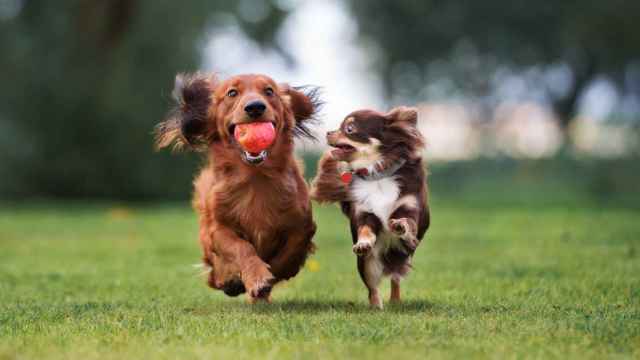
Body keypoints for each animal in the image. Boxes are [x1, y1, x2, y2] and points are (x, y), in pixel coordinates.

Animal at [155, 72, 320, 300]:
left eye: (269, 91)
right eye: (232, 93)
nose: (255, 107)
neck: (255, 178)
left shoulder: (302, 224)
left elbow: (291, 250)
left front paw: (274, 273)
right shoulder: (218, 229)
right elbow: (241, 247)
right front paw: (256, 277)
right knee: (215, 272)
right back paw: (229, 280)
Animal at [310, 105, 430, 308]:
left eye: (349, 129)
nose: (328, 132)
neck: (378, 175)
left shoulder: (409, 207)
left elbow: (408, 222)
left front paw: (400, 225)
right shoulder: (364, 213)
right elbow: (365, 230)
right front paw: (364, 243)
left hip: (401, 256)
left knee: (395, 278)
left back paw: (395, 301)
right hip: (367, 264)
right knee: (372, 288)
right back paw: (376, 307)